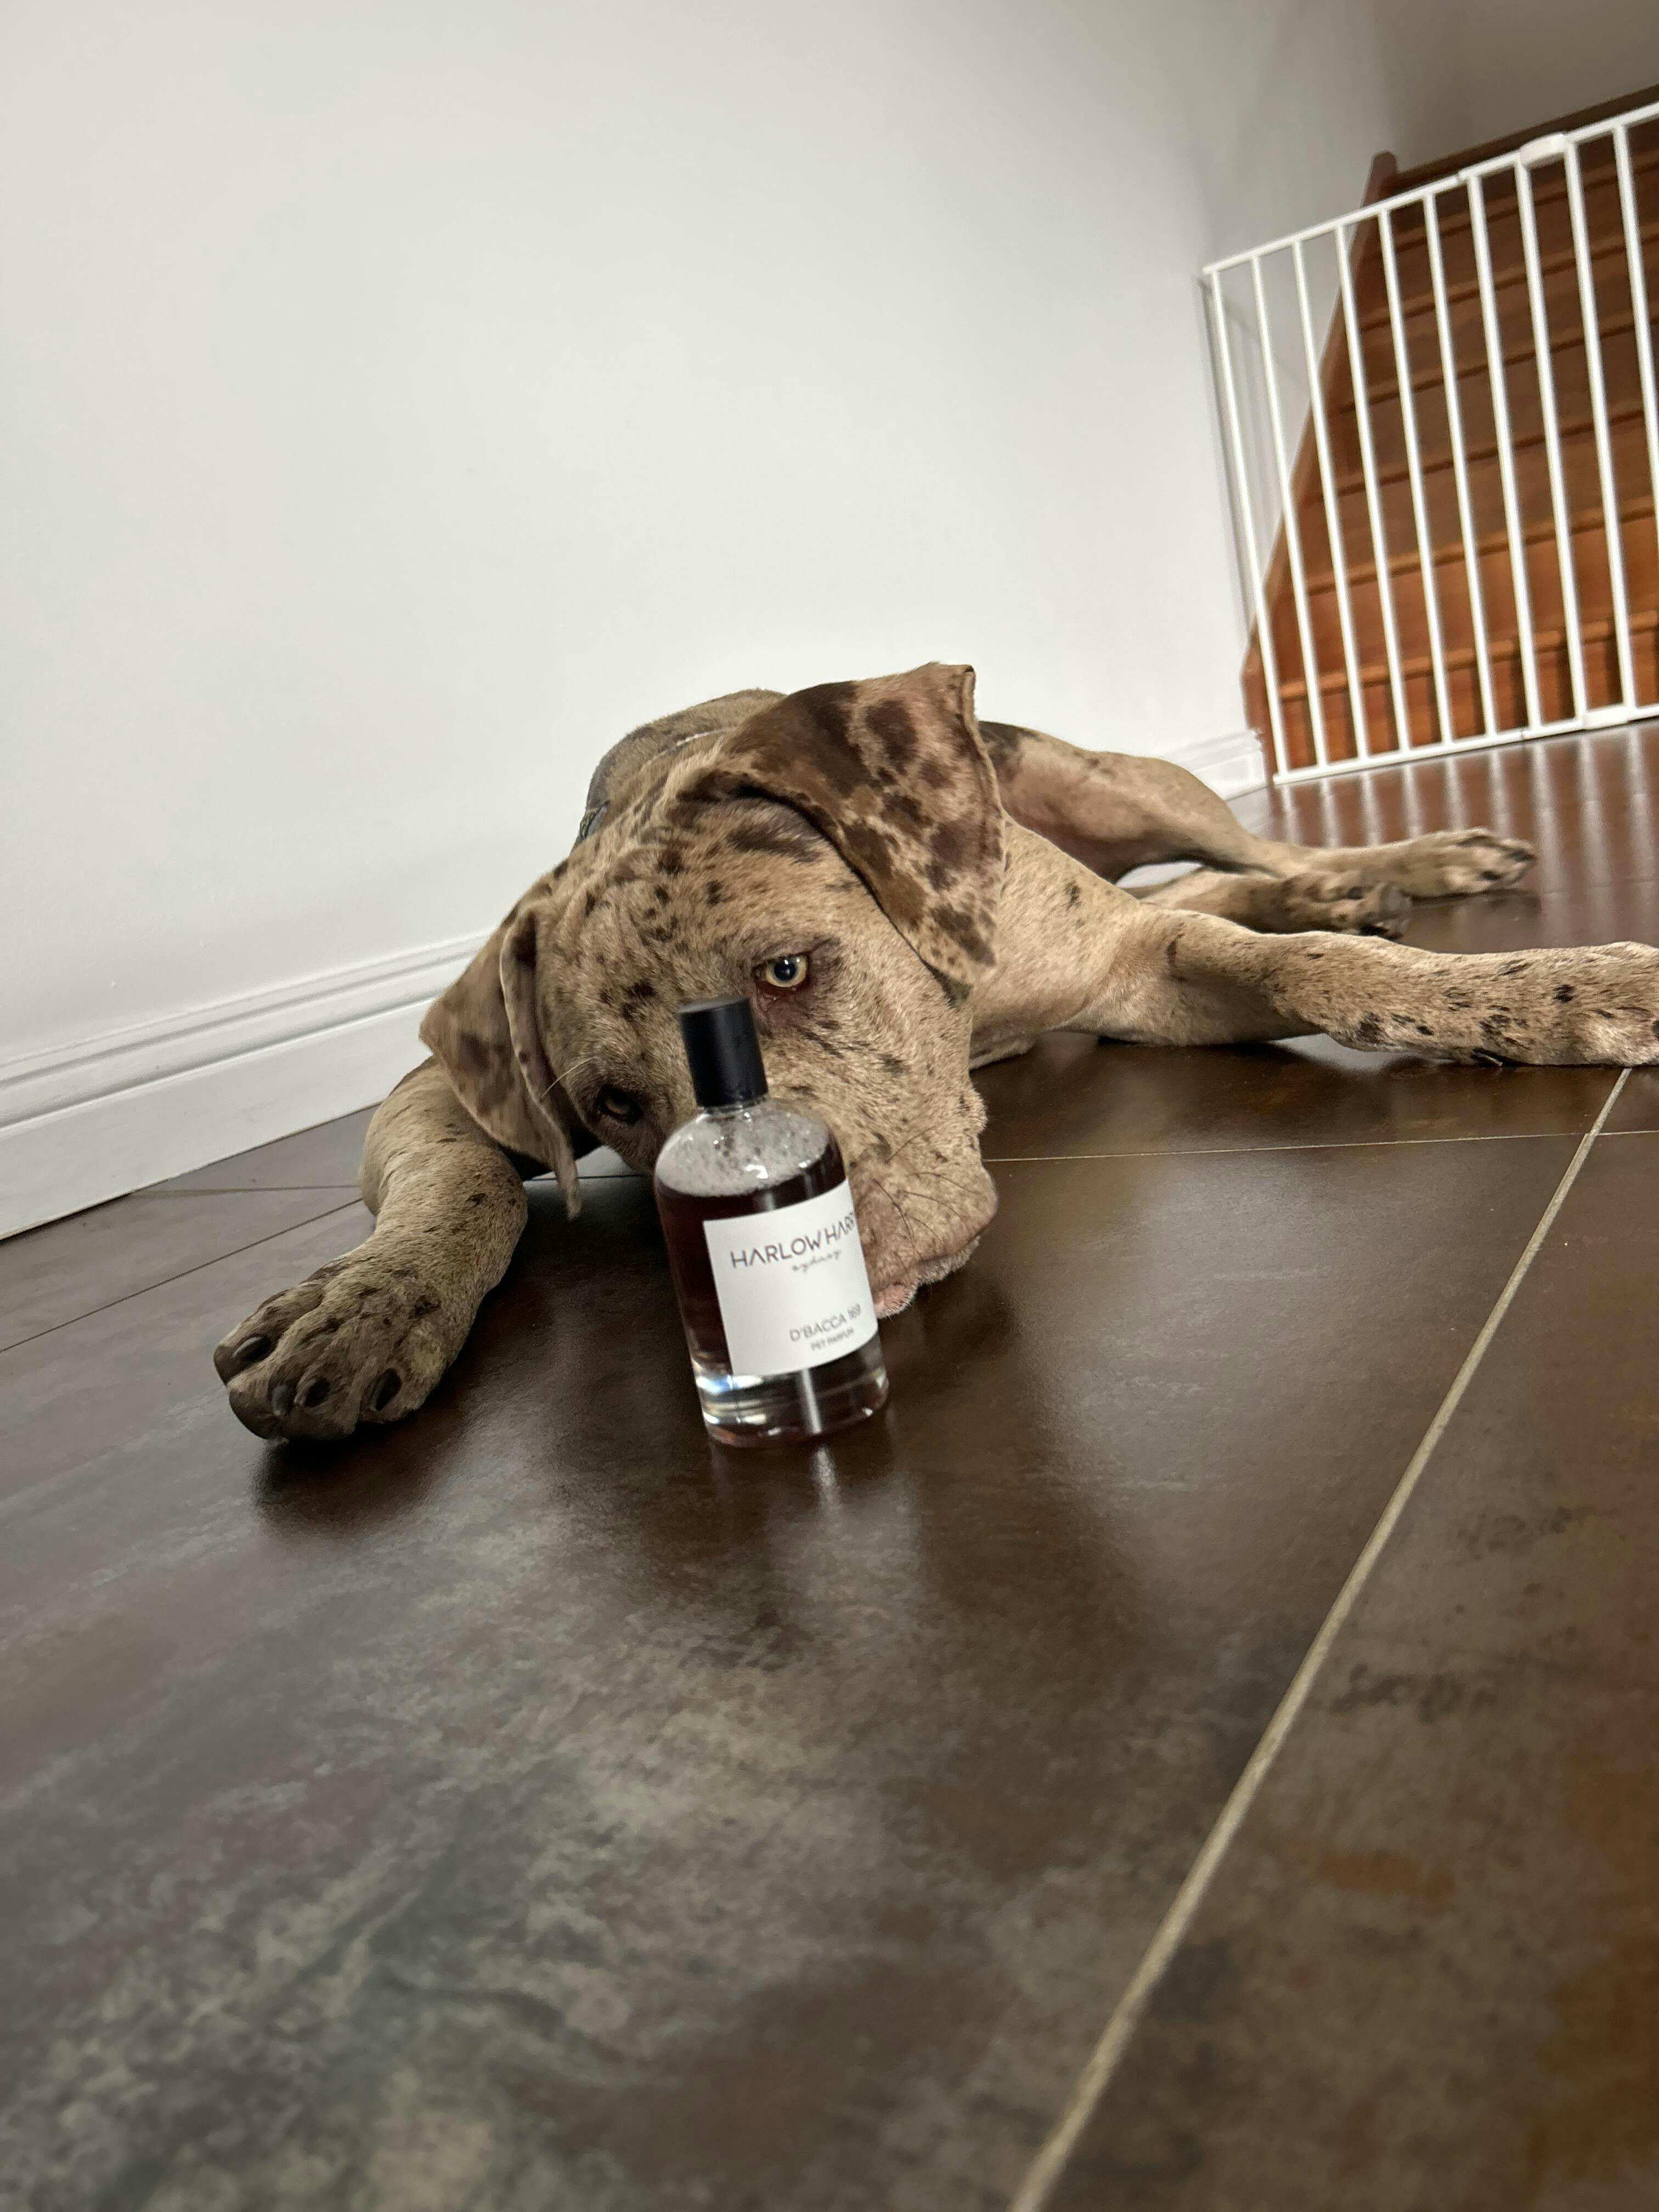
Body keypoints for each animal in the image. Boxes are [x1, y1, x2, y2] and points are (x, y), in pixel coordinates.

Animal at [215, 662, 1658, 1440]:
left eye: (787, 970)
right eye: (614, 1100)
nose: (799, 1254)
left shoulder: (1139, 963)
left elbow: (1318, 969)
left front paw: (1558, 989)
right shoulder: (446, 1093)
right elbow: (459, 1183)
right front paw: (364, 1303)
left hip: (1122, 783)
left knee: (1255, 850)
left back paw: (1407, 863)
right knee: (1234, 881)